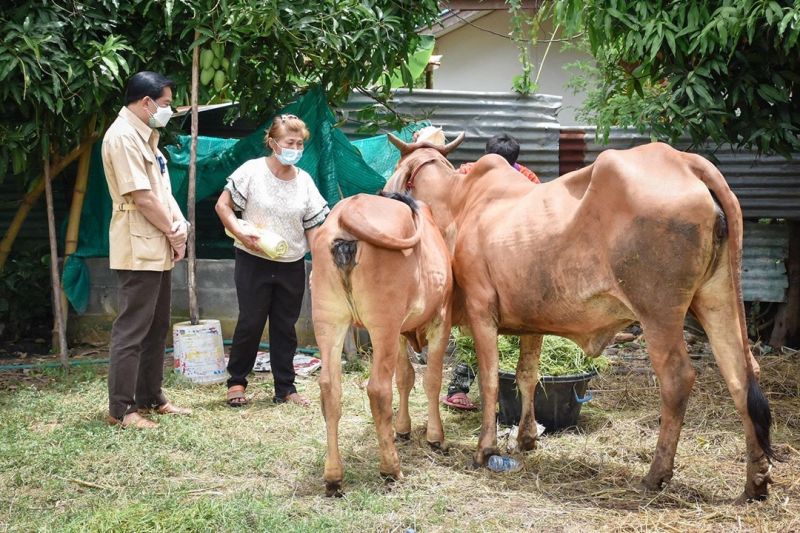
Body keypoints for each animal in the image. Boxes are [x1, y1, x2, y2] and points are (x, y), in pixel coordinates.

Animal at [310, 190, 454, 494]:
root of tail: (347, 212)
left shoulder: (399, 330)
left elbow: (406, 377)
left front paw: (403, 428)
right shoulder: (441, 319)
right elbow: (432, 379)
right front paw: (435, 436)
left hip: (328, 320)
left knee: (330, 389)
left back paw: (333, 476)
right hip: (382, 324)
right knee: (378, 390)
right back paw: (391, 468)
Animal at [384, 136, 772, 498]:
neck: (459, 203)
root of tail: (684, 162)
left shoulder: (482, 310)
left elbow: (490, 379)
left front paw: (485, 449)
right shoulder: (531, 321)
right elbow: (526, 376)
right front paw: (527, 438)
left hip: (659, 311)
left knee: (677, 378)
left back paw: (656, 475)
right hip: (717, 296)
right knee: (742, 373)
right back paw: (756, 480)